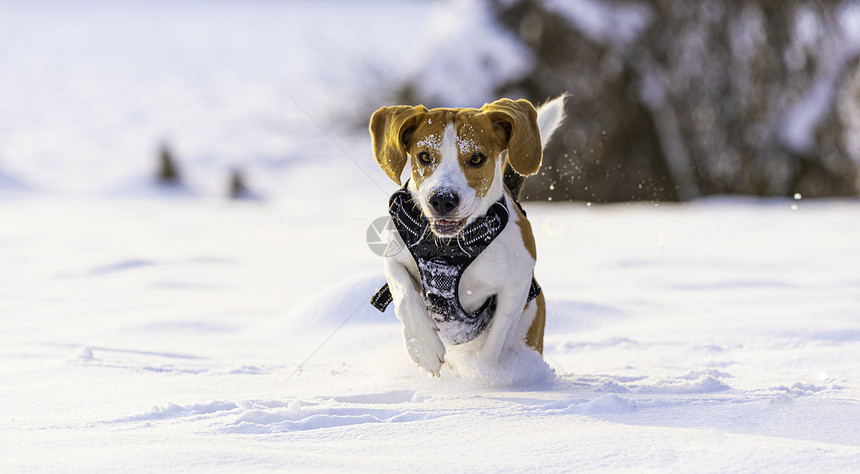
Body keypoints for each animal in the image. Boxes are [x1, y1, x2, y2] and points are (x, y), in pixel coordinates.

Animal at [368, 94, 564, 376]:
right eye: (424, 156)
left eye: (477, 158)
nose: (442, 199)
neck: (449, 246)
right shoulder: (394, 257)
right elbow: (404, 296)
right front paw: (423, 347)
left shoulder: (516, 284)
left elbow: (494, 345)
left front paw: (481, 376)